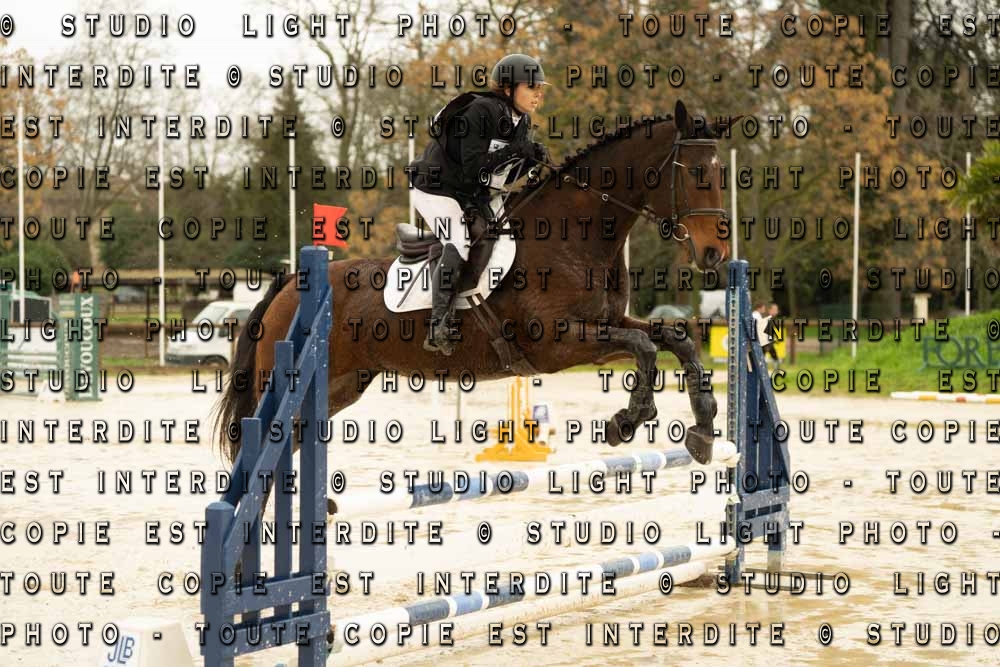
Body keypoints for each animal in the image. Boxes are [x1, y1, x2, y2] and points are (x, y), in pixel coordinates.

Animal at [215, 100, 732, 497]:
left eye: (721, 173)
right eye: (696, 174)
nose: (716, 254)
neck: (574, 235)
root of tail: (288, 284)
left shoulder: (608, 323)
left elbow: (674, 339)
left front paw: (703, 429)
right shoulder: (558, 343)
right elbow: (644, 347)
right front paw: (626, 421)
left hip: (341, 385)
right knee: (259, 450)